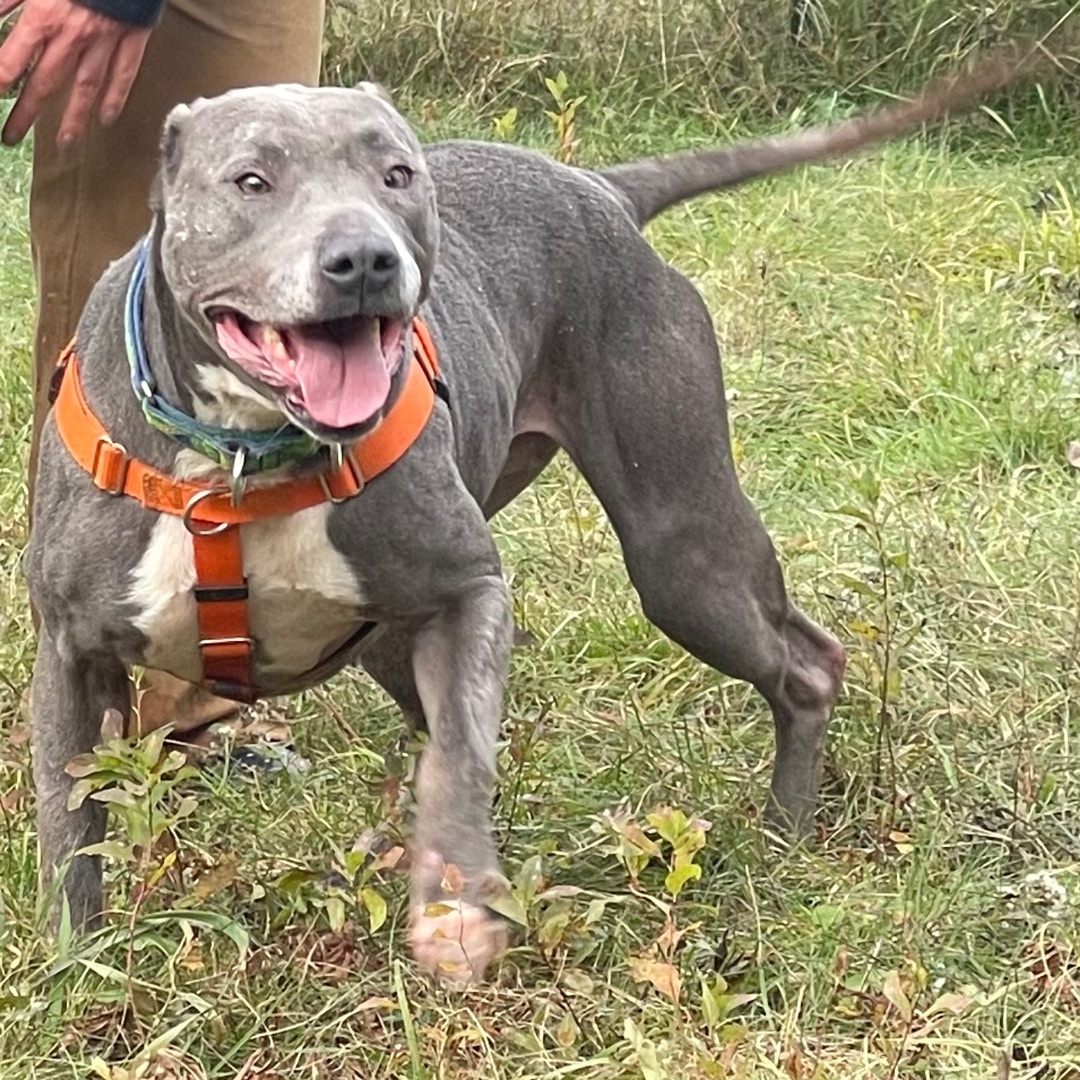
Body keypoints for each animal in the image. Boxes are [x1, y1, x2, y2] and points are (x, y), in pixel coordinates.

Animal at [27, 52, 1028, 980]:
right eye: (251, 180)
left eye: (397, 175)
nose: (366, 260)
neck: (242, 458)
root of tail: (600, 186)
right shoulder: (72, 652)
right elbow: (70, 823)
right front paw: (74, 972)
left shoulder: (470, 590)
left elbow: (462, 753)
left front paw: (459, 904)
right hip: (411, 628)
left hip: (681, 545)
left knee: (804, 662)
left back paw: (783, 836)